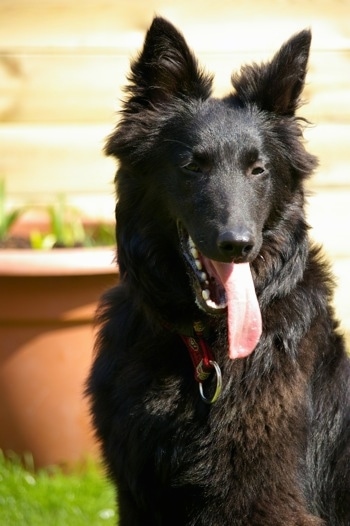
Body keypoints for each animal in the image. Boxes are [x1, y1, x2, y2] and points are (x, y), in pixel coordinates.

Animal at [87, 17, 348, 526]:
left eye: (258, 169)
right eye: (192, 166)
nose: (238, 244)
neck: (203, 350)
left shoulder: (263, 502)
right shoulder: (138, 497)